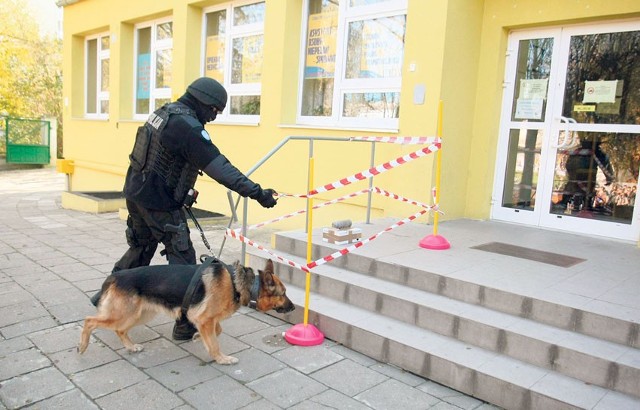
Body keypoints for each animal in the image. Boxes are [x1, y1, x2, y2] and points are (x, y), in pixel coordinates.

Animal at [78, 260, 296, 366]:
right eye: (284, 293)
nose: (294, 308)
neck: (239, 283)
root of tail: (115, 276)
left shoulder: (207, 318)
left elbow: (217, 331)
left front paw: (198, 336)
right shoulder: (204, 318)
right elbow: (215, 342)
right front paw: (222, 359)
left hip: (140, 314)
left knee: (120, 330)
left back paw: (131, 347)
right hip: (125, 314)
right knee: (89, 321)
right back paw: (82, 346)